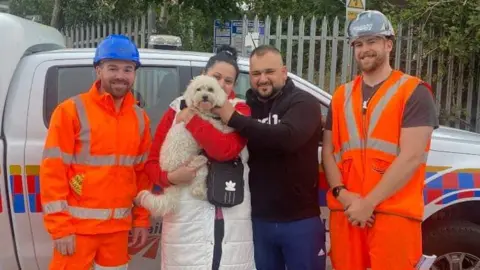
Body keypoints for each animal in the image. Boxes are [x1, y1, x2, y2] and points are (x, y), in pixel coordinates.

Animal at [135, 75, 234, 217]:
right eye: (198, 89)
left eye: (210, 89)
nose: (204, 96)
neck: (201, 112)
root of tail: (169, 171)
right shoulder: (212, 126)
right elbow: (222, 129)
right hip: (194, 167)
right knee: (196, 188)